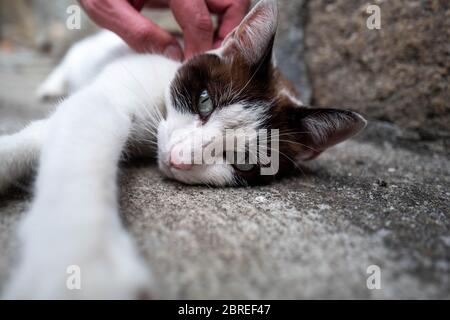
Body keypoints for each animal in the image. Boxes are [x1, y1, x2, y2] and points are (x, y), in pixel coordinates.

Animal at [0, 0, 366, 300]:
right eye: (204, 101)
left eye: (243, 161)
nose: (178, 158)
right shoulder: (110, 95)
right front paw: (82, 261)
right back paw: (50, 84)